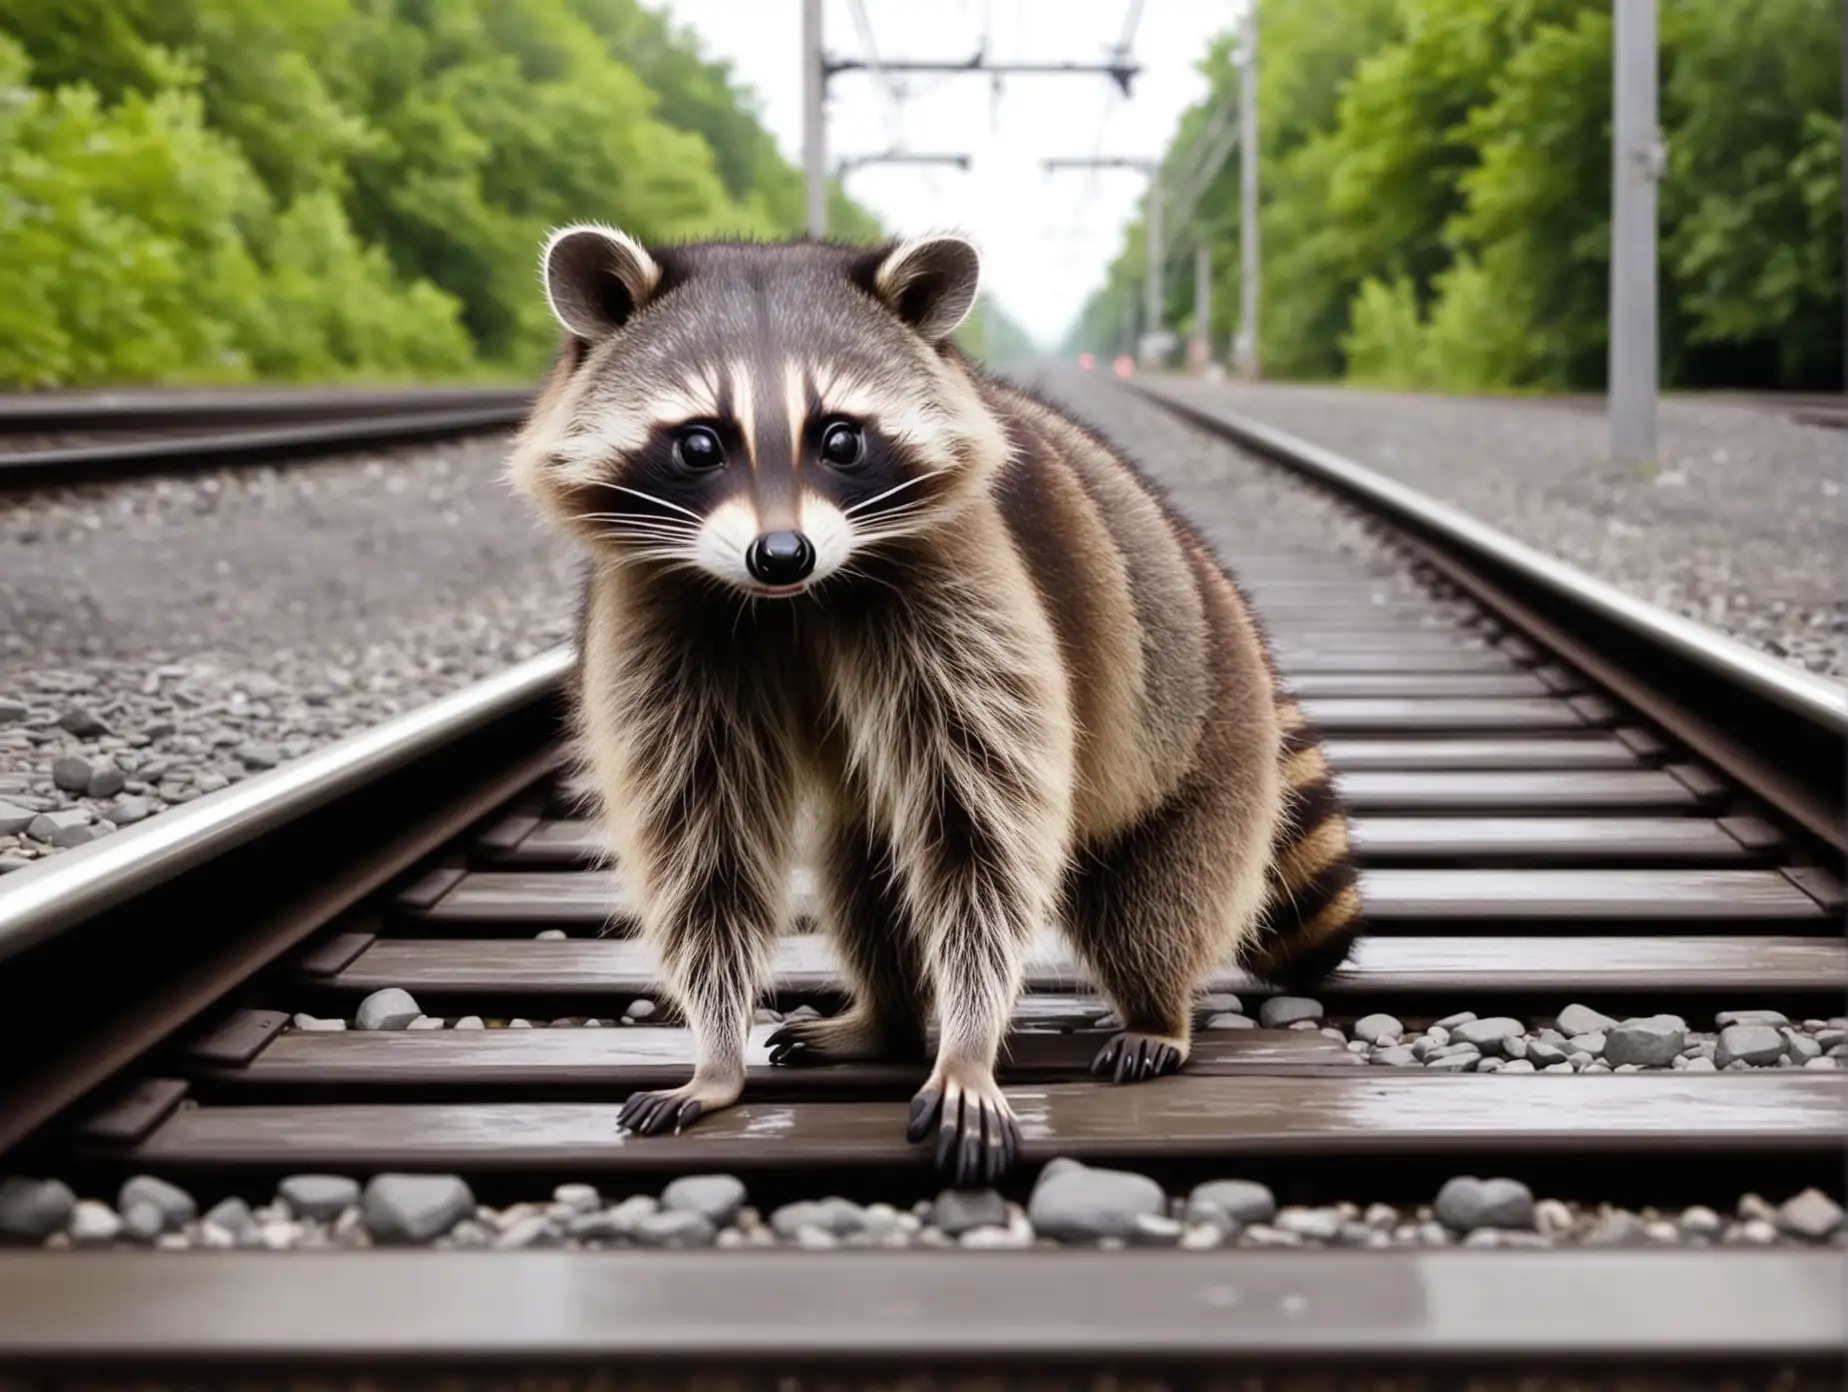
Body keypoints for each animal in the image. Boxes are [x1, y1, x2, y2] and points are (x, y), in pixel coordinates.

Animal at [506, 228, 1360, 1183]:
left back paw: (1155, 1009)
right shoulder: (661, 612)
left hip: (1205, 729)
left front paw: (969, 1044)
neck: (791, 600)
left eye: (840, 437)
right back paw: (887, 1015)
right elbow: (703, 842)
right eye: (699, 444)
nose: (781, 552)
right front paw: (716, 1054)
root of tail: (1212, 577)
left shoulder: (966, 578)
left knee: (1151, 896)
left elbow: (981, 829)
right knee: (864, 872)